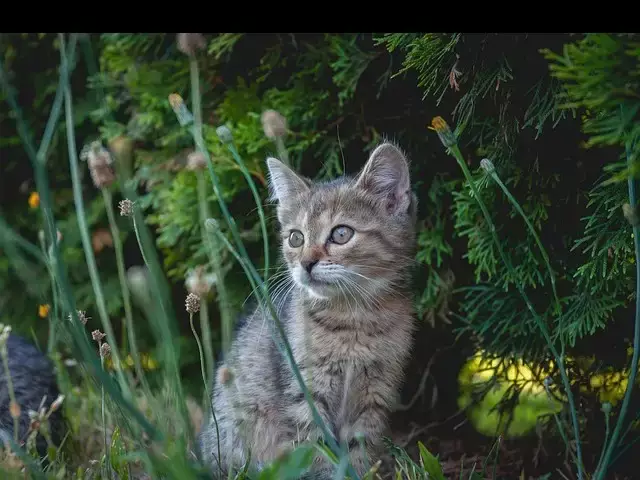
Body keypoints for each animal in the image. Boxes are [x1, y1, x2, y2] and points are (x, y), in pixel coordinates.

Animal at [200, 141, 420, 478]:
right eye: (296, 238)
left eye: (341, 234)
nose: (306, 263)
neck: (353, 320)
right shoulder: (305, 393)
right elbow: (316, 450)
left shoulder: (374, 394)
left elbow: (359, 450)